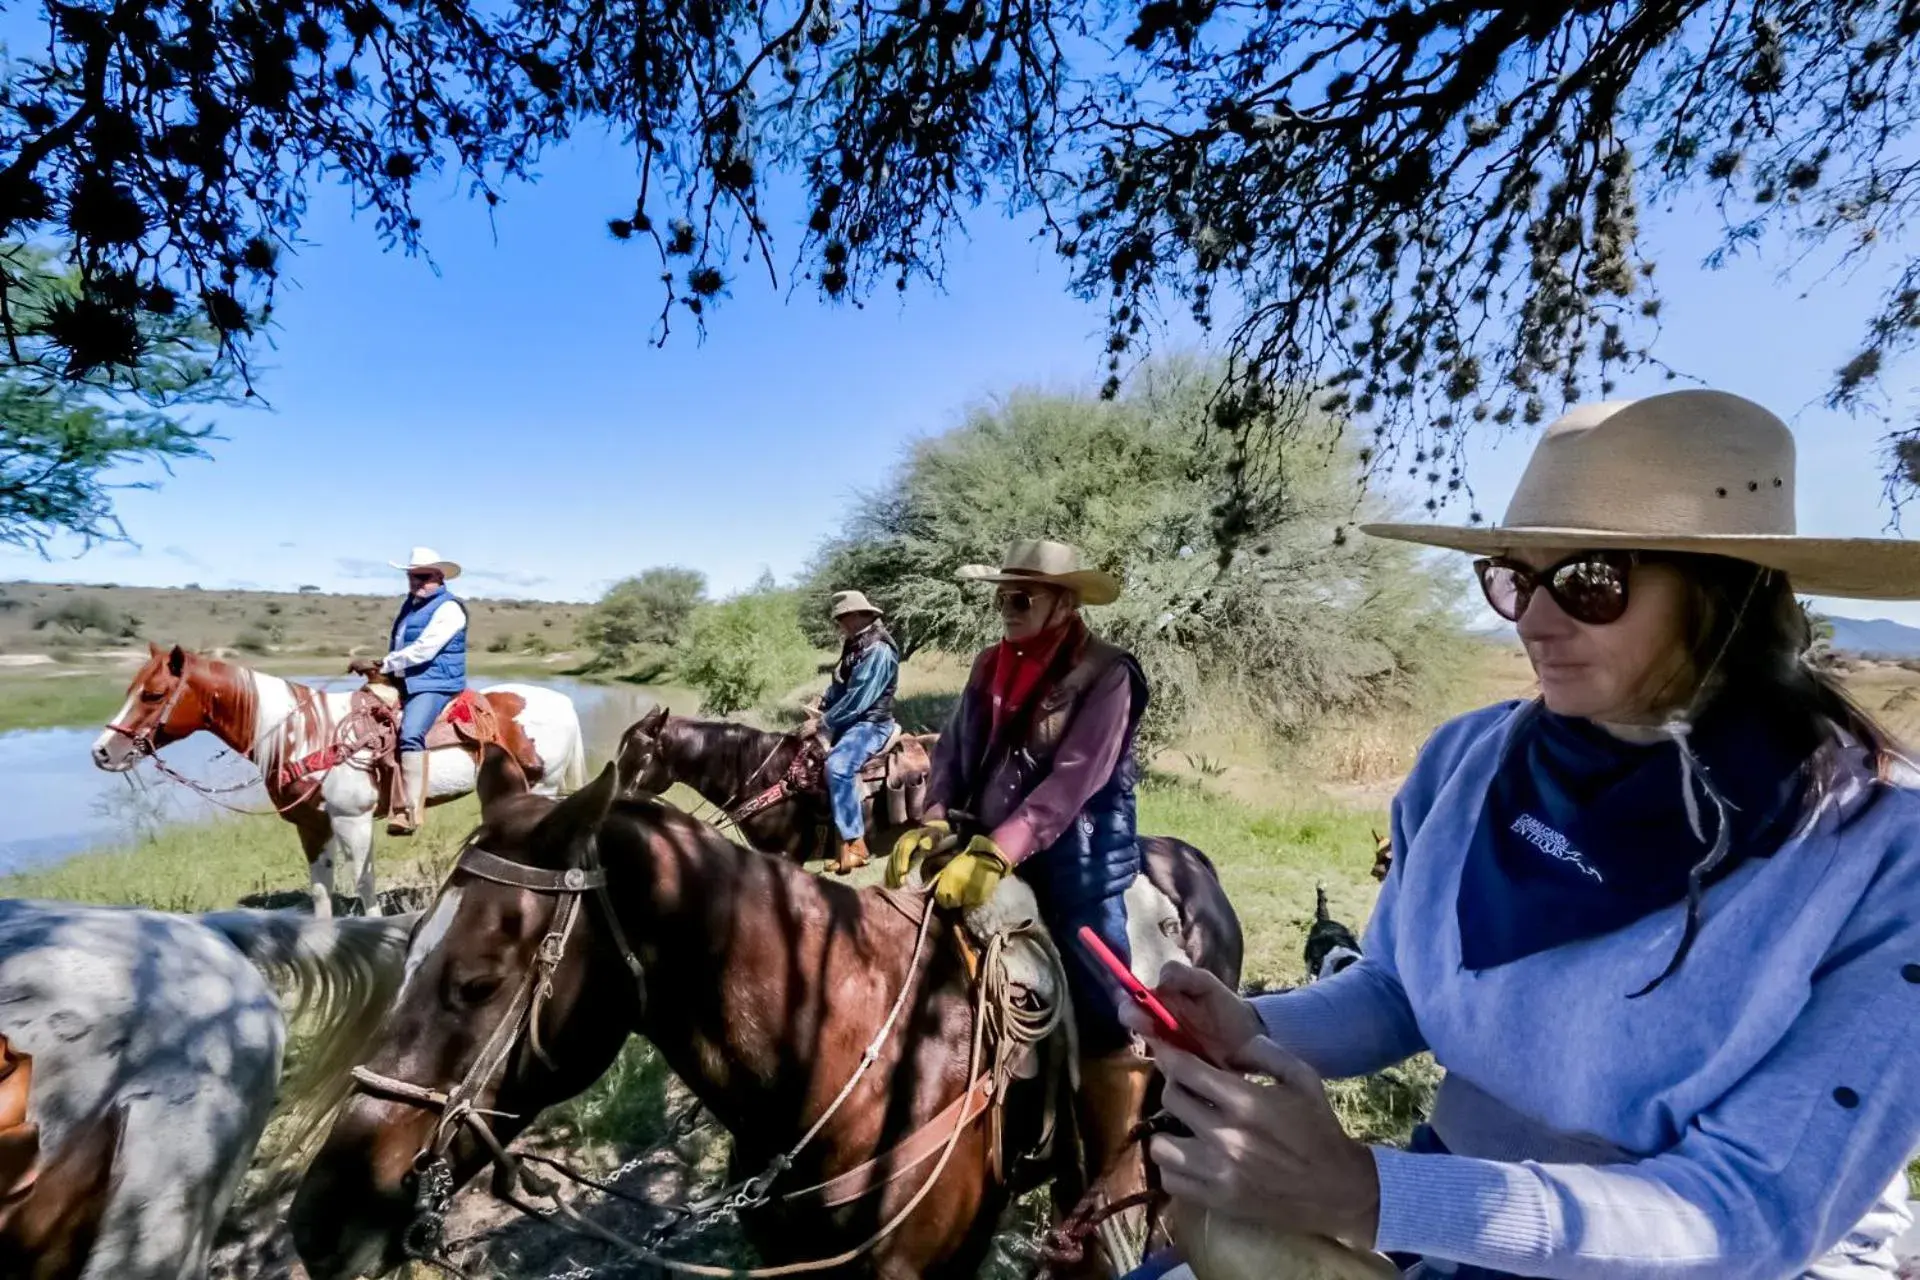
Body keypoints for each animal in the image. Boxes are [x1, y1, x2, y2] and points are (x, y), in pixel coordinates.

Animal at [91, 644, 583, 917]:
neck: (306, 733)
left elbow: (364, 884)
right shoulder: (312, 826)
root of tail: (562, 701)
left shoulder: (353, 820)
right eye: (129, 689)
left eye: (153, 694)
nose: (102, 752)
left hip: (543, 788)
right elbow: (321, 890)